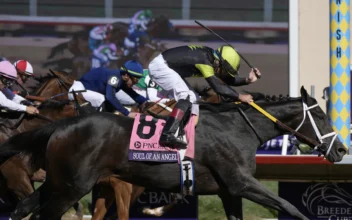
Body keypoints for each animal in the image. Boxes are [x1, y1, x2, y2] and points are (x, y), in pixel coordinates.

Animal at [1, 87, 346, 219]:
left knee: (25, 208)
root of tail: (62, 125)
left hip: (58, 182)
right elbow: (290, 206)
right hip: (73, 186)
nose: (342, 149)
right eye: (320, 115)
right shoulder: (240, 182)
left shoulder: (228, 191)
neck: (238, 129)